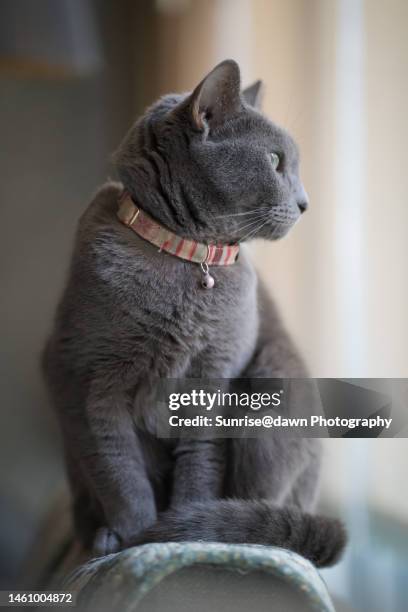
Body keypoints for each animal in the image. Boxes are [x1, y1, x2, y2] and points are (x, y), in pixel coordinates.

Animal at [43, 59, 346, 568]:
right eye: (275, 161)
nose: (307, 203)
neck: (189, 258)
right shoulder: (86, 381)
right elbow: (117, 469)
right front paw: (132, 535)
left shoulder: (213, 377)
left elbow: (200, 464)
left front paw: (180, 532)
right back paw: (97, 533)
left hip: (275, 385)